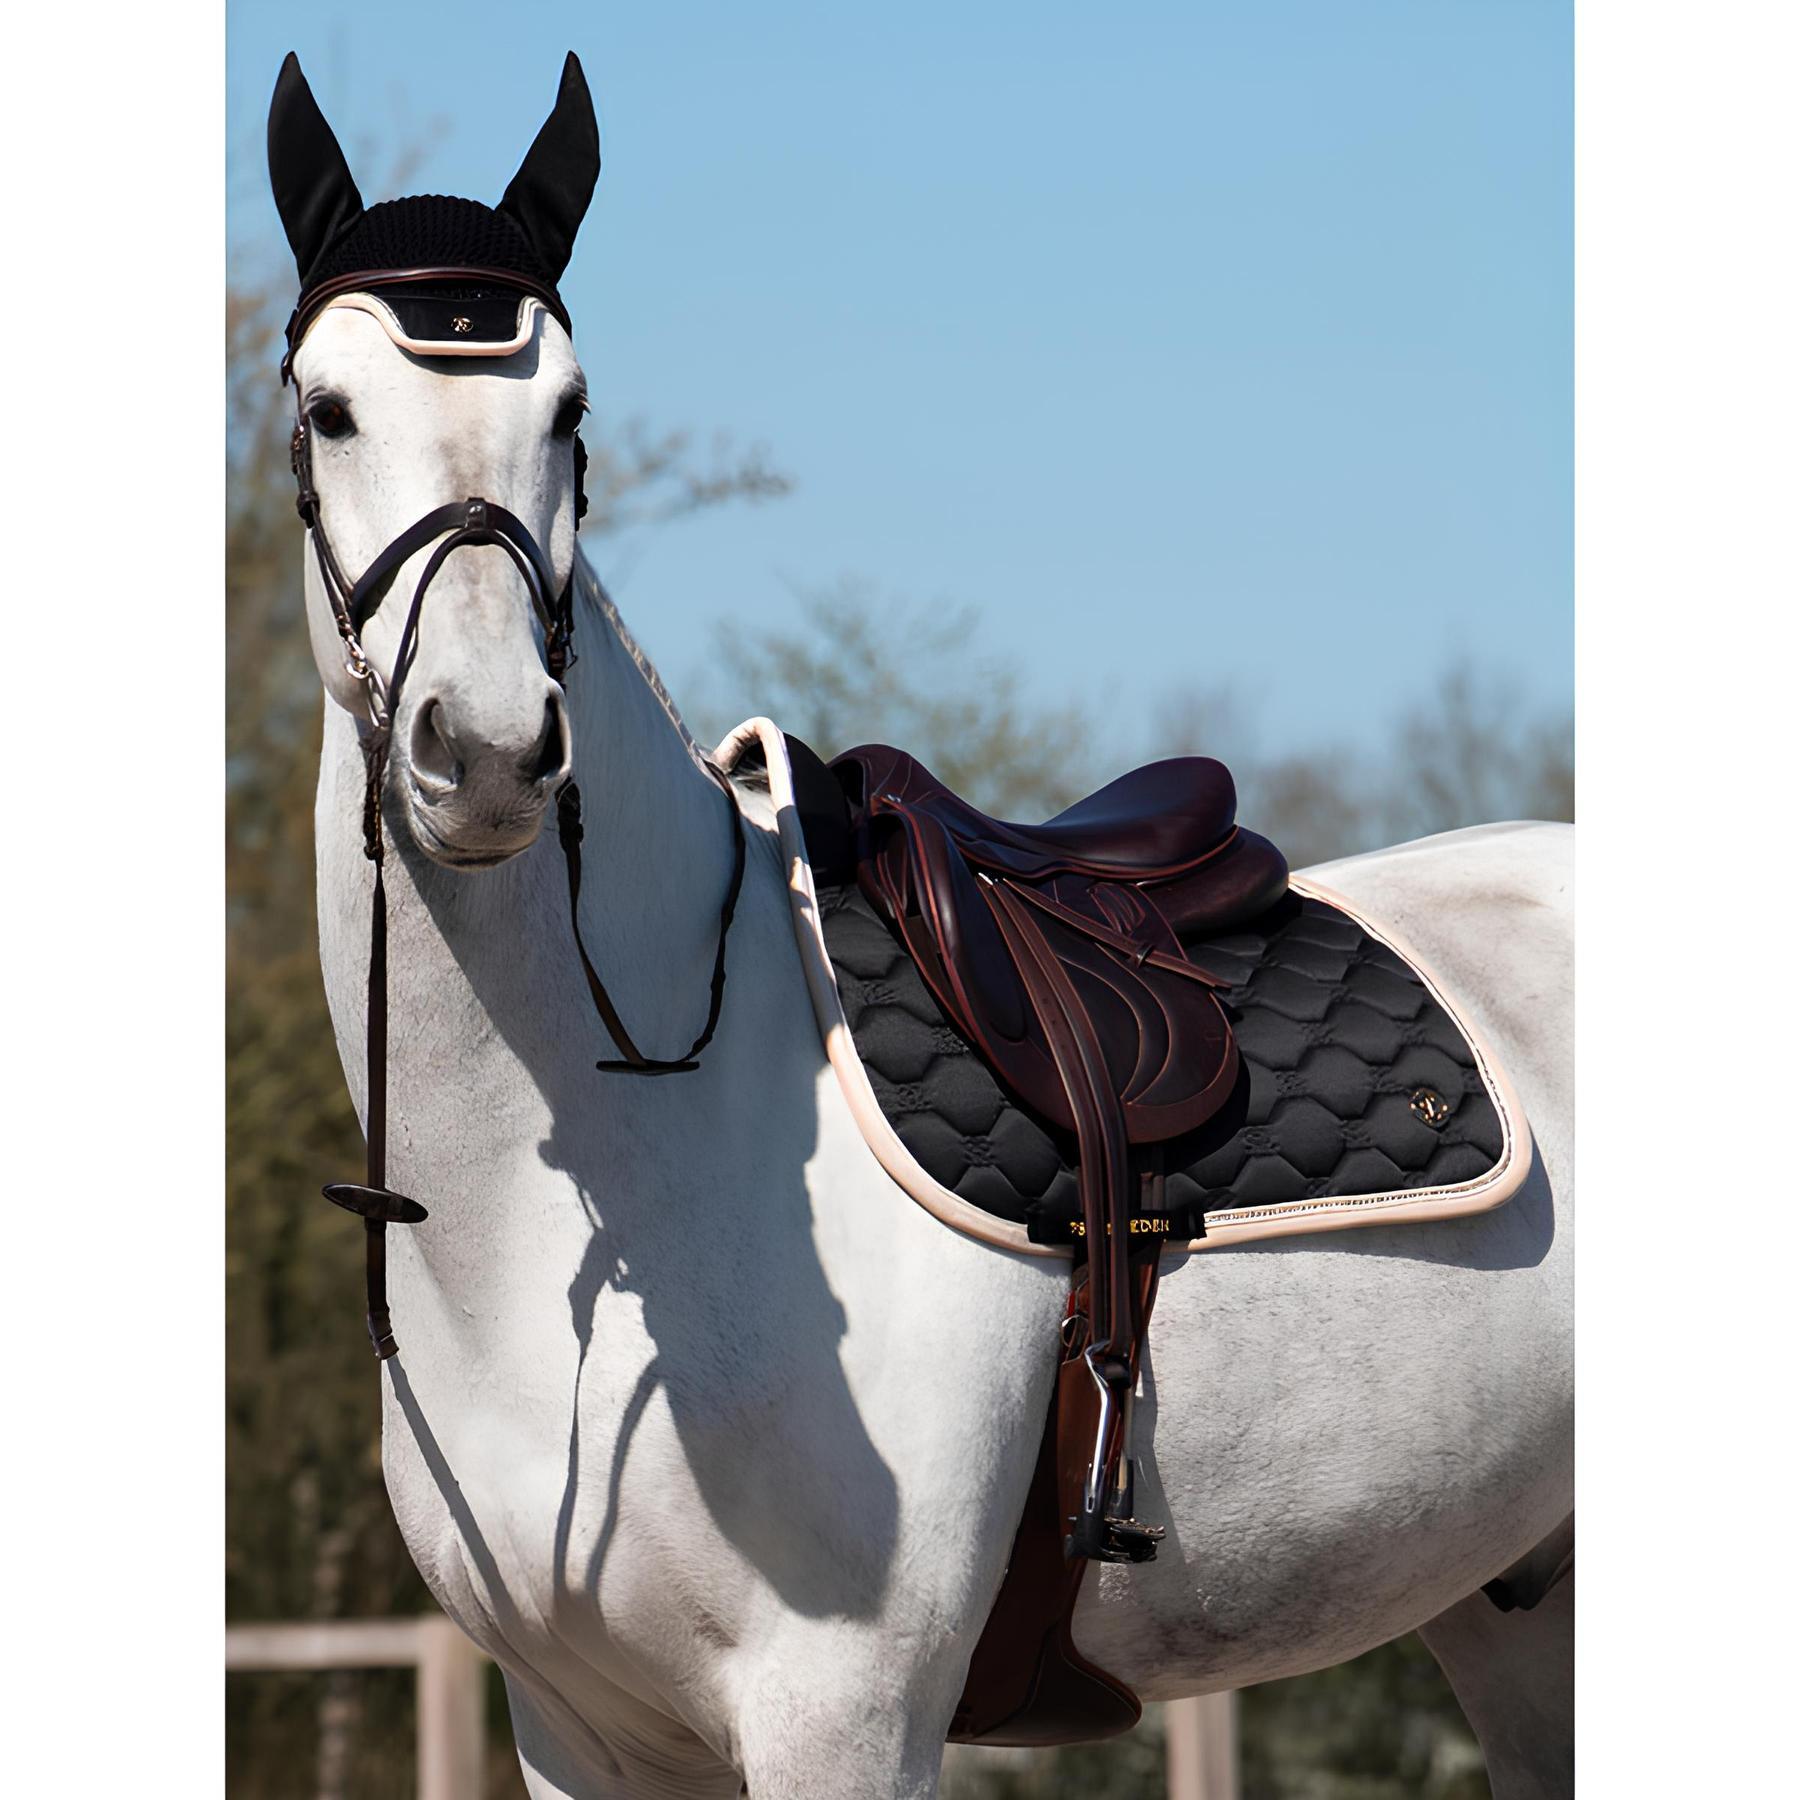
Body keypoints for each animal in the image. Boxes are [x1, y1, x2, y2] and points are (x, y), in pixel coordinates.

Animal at [271, 53, 1573, 1800]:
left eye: (573, 412)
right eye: (327, 409)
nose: (483, 749)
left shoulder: (844, 1713)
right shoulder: (578, 1733)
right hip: (1523, 1616)